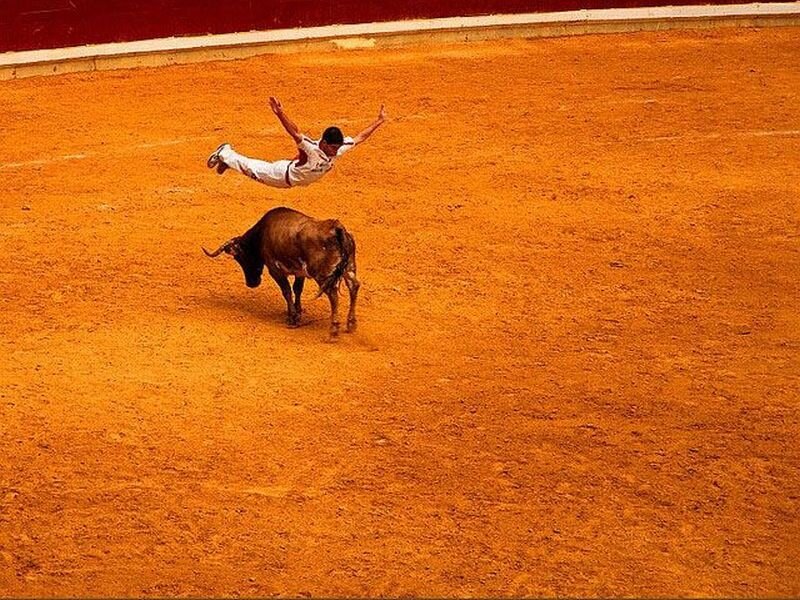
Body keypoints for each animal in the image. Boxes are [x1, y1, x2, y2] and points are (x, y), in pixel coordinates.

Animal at [203, 207, 360, 338]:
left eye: (240, 258)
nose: (251, 283)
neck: (261, 234)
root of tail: (336, 228)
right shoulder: (299, 272)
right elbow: (297, 289)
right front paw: (298, 312)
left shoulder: (275, 270)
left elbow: (287, 291)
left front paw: (292, 318)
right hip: (349, 268)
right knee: (354, 286)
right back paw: (351, 323)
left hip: (322, 275)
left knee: (333, 294)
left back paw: (334, 328)